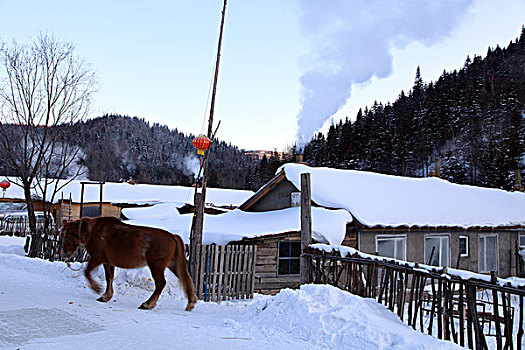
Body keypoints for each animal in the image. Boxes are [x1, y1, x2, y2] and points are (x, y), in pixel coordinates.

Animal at [59, 216, 198, 312]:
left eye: (65, 234)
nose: (65, 253)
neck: (93, 231)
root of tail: (172, 236)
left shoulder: (97, 258)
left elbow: (87, 271)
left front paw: (96, 288)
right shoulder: (107, 262)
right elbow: (109, 278)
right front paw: (106, 296)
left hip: (156, 266)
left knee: (161, 283)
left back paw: (147, 304)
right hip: (171, 264)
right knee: (185, 279)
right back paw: (189, 303)